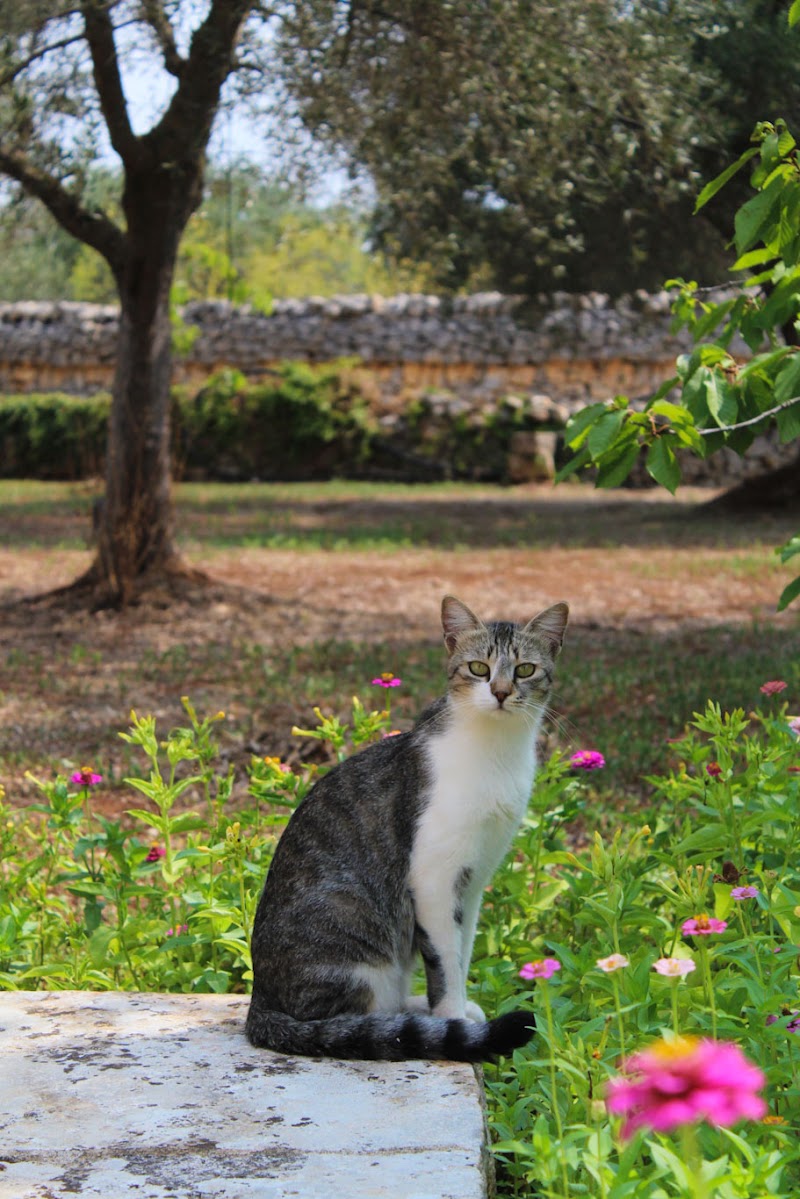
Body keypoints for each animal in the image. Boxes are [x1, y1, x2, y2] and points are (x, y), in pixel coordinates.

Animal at [248, 594, 568, 1064]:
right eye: (479, 668)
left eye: (525, 669)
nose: (501, 692)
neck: (495, 752)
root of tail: (260, 1001)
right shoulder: (433, 877)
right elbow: (445, 959)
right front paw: (453, 1019)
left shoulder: (473, 882)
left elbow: (462, 951)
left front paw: (456, 1010)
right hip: (354, 935)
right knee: (346, 1022)